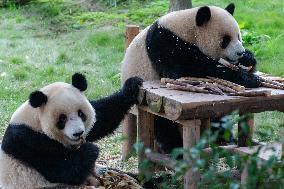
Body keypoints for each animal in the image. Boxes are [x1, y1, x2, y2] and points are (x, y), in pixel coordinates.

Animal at [0, 73, 142, 188]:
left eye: (81, 114)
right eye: (62, 119)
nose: (78, 133)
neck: (35, 119)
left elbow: (101, 118)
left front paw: (132, 86)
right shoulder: (26, 140)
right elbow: (60, 169)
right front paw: (91, 149)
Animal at [121, 2, 260, 154]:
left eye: (239, 36)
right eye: (225, 40)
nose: (240, 52)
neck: (187, 29)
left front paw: (248, 58)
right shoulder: (166, 44)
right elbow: (188, 70)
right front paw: (250, 79)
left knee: (218, 117)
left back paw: (225, 138)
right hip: (147, 99)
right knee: (163, 124)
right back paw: (175, 148)